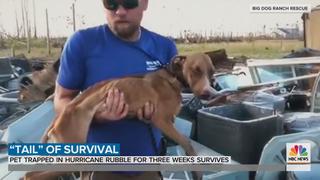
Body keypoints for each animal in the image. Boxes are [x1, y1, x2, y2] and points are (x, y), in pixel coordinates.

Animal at [23, 53, 216, 180]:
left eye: (212, 72)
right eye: (195, 70)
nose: (208, 93)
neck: (173, 78)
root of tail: (58, 120)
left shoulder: (168, 121)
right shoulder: (161, 120)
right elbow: (187, 141)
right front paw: (197, 171)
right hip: (70, 158)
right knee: (30, 175)